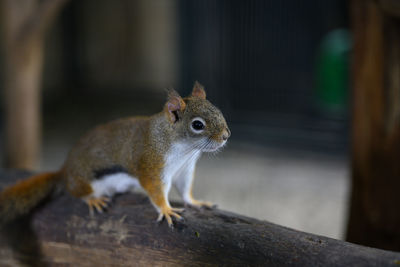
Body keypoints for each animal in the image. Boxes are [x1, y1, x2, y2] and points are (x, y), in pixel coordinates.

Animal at [0, 82, 230, 228]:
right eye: (197, 125)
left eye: (218, 111)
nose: (226, 136)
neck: (184, 150)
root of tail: (64, 171)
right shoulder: (151, 165)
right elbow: (156, 191)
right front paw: (166, 209)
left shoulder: (185, 170)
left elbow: (184, 190)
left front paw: (197, 202)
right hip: (84, 181)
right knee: (76, 192)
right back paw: (92, 200)